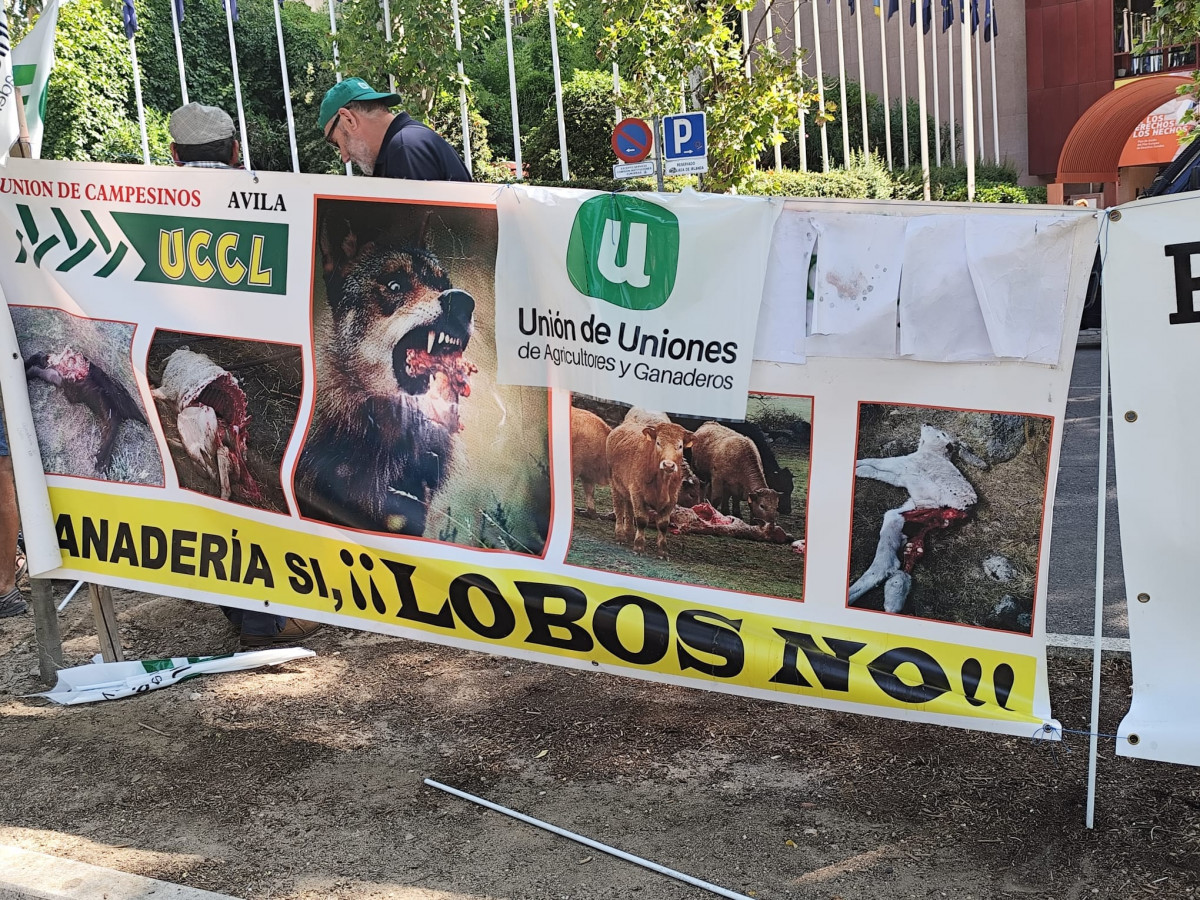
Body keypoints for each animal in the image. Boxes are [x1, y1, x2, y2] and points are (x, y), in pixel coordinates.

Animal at [609, 422, 696, 556]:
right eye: (658, 443)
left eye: (680, 446)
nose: (668, 465)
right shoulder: (637, 494)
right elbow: (641, 520)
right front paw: (639, 546)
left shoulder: (672, 500)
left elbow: (663, 524)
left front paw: (663, 550)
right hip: (615, 485)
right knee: (619, 510)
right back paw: (620, 536)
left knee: (629, 510)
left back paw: (629, 534)